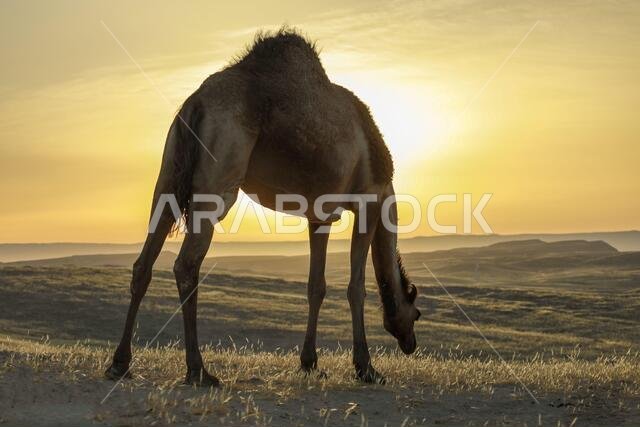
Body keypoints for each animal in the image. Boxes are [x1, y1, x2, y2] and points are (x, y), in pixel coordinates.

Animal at [105, 29, 421, 386]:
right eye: (416, 314)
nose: (411, 344)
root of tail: (195, 104)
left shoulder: (320, 215)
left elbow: (316, 286)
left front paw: (310, 362)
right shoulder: (368, 200)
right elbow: (356, 289)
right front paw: (366, 368)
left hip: (169, 174)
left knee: (143, 262)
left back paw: (120, 364)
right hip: (220, 173)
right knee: (186, 264)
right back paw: (199, 370)